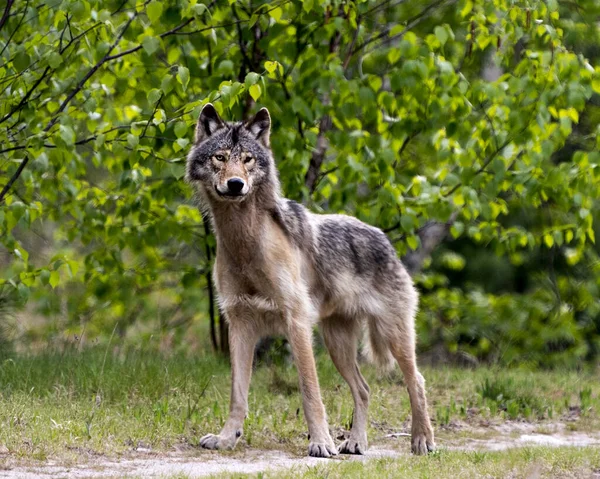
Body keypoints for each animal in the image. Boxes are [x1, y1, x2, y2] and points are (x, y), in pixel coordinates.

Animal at [185, 104, 434, 458]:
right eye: (220, 157)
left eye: (248, 159)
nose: (235, 184)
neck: (246, 245)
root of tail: (382, 237)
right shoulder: (239, 324)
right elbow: (238, 394)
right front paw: (226, 438)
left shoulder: (297, 321)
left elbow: (310, 390)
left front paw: (320, 443)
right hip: (338, 345)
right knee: (364, 388)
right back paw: (356, 442)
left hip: (393, 337)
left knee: (417, 381)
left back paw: (422, 440)